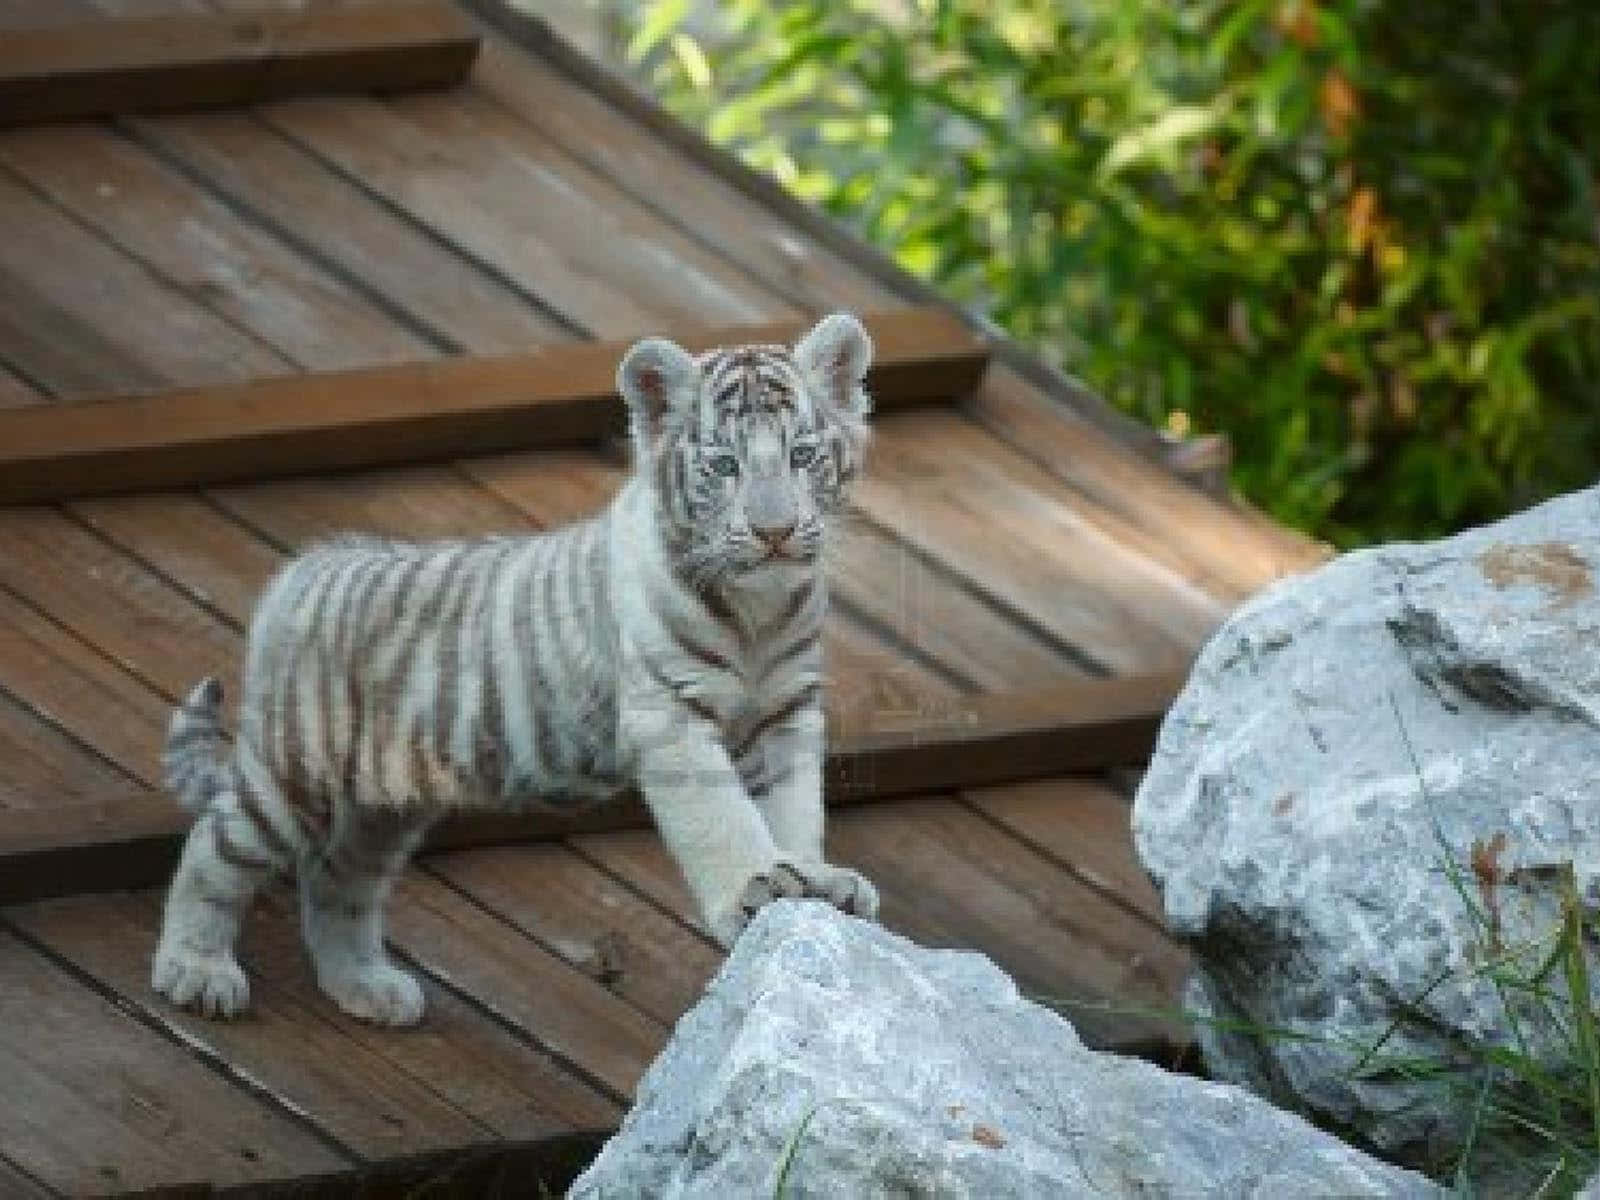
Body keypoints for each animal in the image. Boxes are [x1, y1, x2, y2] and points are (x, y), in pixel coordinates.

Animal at [152, 313, 881, 1026]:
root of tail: (304, 568)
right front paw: (758, 884)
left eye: (802, 455)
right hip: (297, 766)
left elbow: (793, 806)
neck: (762, 609)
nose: (774, 532)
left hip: (384, 803)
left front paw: (814, 877)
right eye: (724, 466)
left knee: (338, 878)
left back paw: (366, 987)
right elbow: (721, 816)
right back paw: (196, 971)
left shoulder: (785, 714)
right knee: (216, 845)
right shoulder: (671, 715)